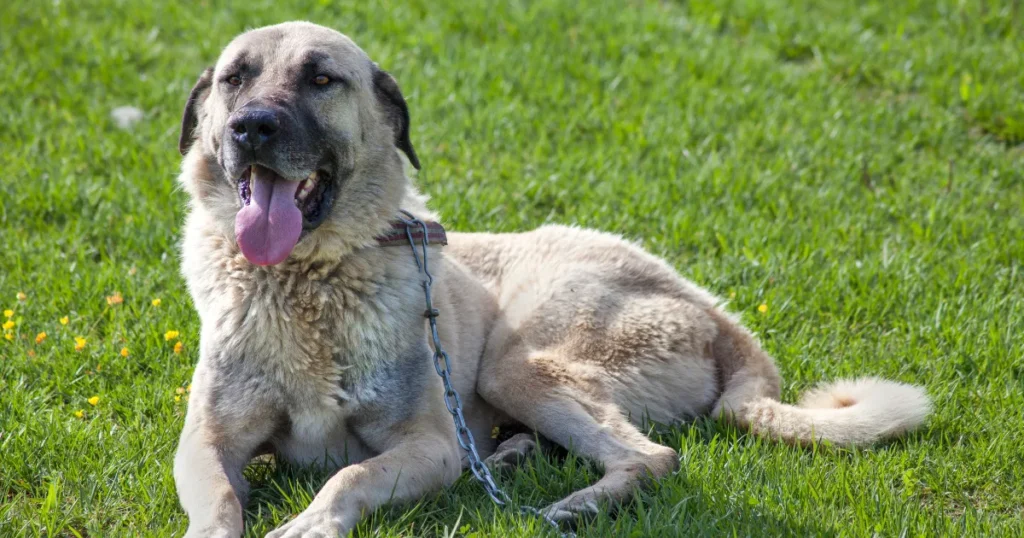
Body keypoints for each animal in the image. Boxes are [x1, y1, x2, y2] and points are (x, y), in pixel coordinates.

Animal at [172, 22, 933, 536]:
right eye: (236, 78)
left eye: (321, 79)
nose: (252, 127)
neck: (309, 280)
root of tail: (713, 310)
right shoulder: (206, 443)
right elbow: (220, 502)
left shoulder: (430, 446)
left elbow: (348, 475)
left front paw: (311, 520)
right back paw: (514, 459)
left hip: (519, 364)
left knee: (654, 457)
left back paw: (575, 504)